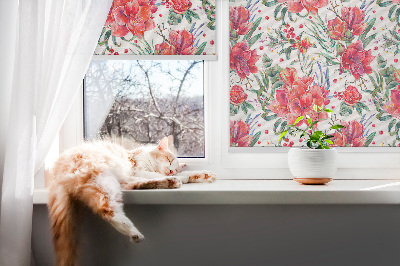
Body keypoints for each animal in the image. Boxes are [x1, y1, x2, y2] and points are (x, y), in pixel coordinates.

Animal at [48, 137, 216, 266]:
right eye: (169, 160)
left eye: (174, 166)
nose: (171, 171)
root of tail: (56, 172)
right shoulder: (136, 170)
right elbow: (153, 174)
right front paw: (183, 176)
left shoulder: (134, 174)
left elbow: (185, 174)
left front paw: (203, 175)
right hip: (103, 178)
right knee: (107, 209)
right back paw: (134, 232)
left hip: (114, 182)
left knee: (134, 186)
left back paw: (170, 182)